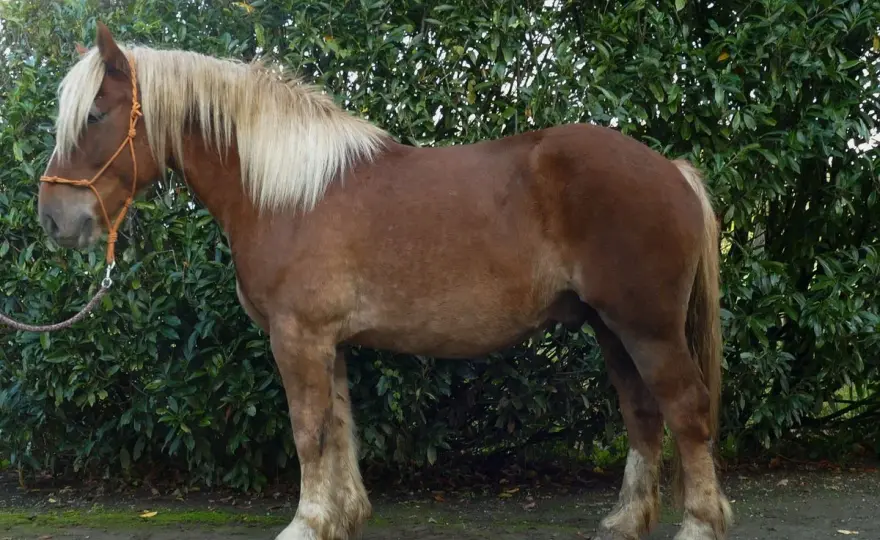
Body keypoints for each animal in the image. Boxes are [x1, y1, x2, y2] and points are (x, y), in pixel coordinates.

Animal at [36, 22, 733, 540]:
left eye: (96, 113)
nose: (53, 219)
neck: (287, 194)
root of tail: (670, 170)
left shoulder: (298, 337)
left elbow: (309, 430)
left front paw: (307, 522)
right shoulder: (329, 342)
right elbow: (340, 428)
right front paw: (343, 518)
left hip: (647, 327)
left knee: (685, 408)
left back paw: (700, 523)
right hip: (612, 329)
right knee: (642, 413)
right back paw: (626, 520)